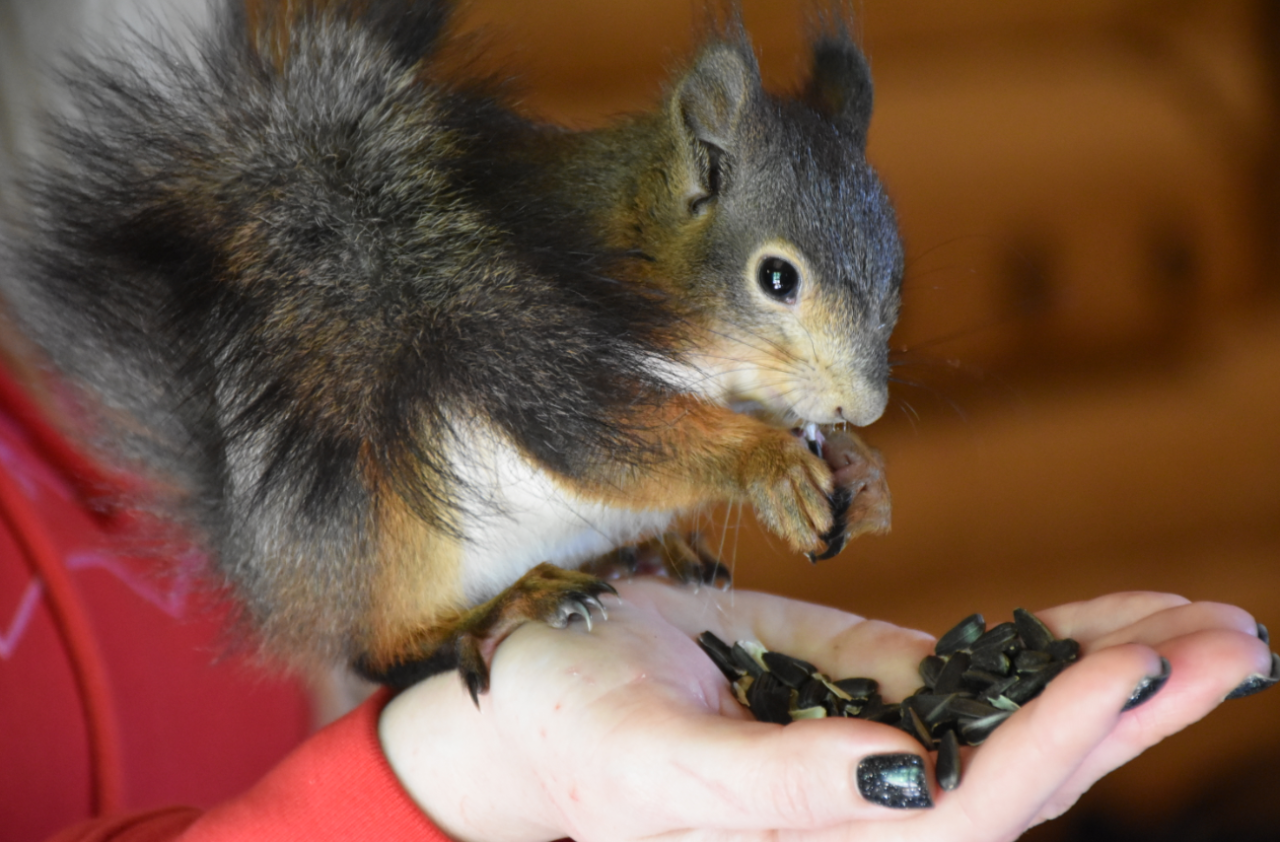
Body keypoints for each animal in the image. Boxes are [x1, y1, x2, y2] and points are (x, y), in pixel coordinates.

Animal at [0, 0, 901, 696]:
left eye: (895, 265)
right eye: (777, 278)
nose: (866, 406)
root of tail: (270, 580)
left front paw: (862, 473)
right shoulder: (520, 346)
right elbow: (616, 445)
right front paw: (768, 465)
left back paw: (645, 548)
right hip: (391, 529)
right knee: (377, 653)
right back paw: (504, 607)